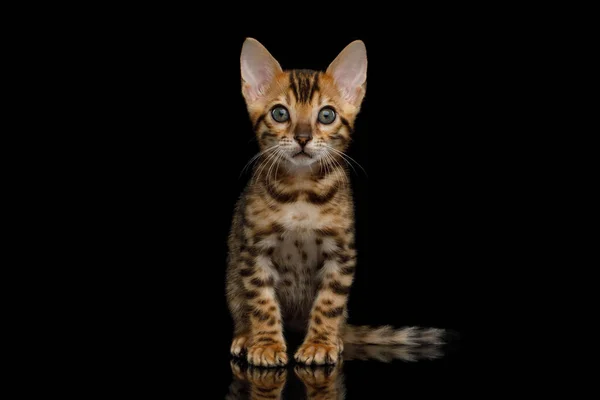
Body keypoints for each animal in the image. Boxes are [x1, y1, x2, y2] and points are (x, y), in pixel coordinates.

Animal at [227, 39, 442, 368]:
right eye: (280, 113)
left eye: (326, 115)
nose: (303, 137)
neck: (301, 192)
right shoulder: (253, 251)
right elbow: (262, 303)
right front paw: (266, 344)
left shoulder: (341, 252)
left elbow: (329, 303)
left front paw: (319, 343)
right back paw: (244, 335)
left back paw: (336, 338)